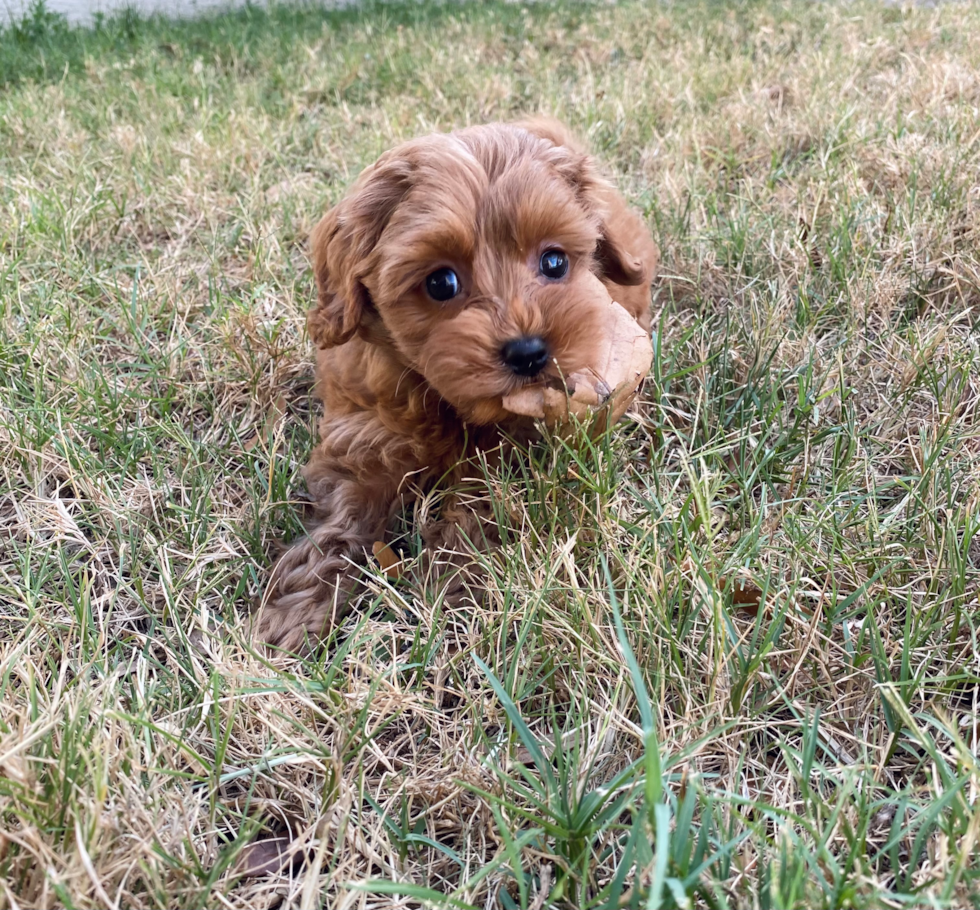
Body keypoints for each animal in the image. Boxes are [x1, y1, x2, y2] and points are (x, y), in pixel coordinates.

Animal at [258, 119, 660, 656]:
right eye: (441, 283)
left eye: (554, 263)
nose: (528, 352)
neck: (447, 402)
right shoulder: (362, 436)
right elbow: (346, 514)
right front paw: (295, 610)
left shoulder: (515, 453)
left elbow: (478, 505)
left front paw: (448, 588)